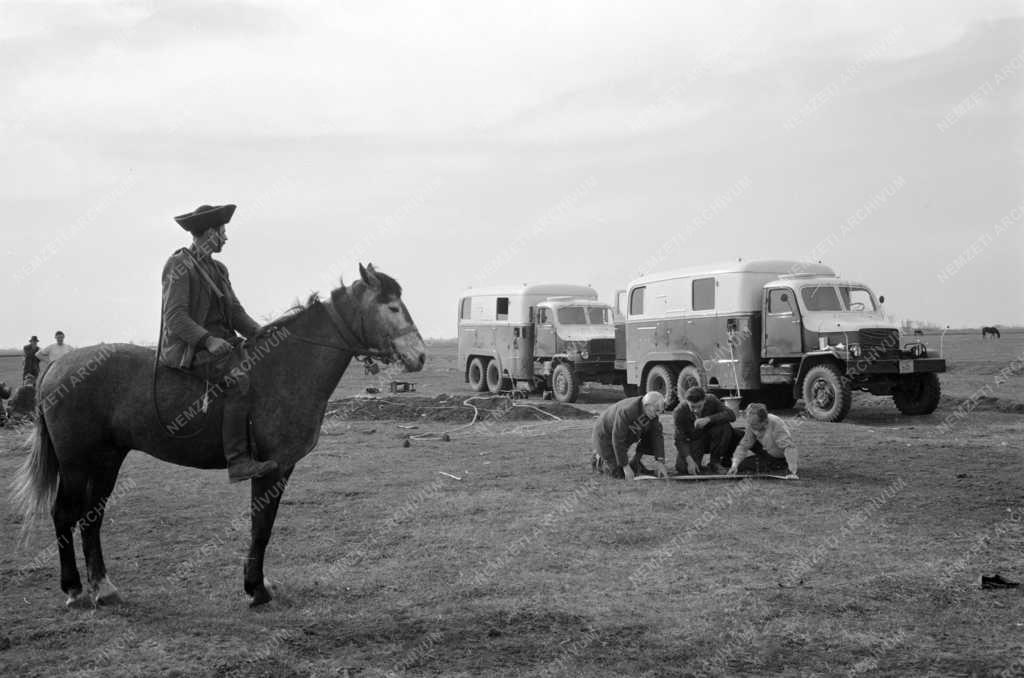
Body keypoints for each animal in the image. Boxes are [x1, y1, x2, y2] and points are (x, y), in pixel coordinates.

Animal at [9, 264, 423, 610]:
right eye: (392, 307)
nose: (418, 355)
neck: (286, 367)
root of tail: (58, 367)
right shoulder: (272, 468)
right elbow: (262, 527)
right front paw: (255, 589)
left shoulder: (281, 468)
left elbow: (262, 526)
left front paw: (258, 584)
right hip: (76, 463)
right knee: (65, 514)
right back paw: (75, 589)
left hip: (107, 459)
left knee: (91, 517)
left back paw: (103, 588)